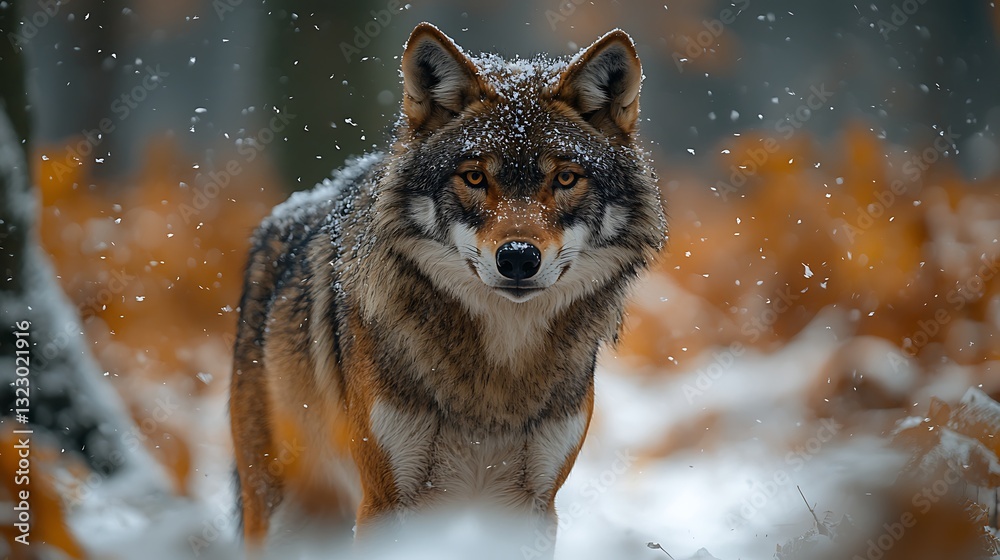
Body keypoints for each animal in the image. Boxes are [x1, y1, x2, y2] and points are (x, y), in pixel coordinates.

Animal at [230, 22, 666, 555]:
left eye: (565, 178)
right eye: (474, 177)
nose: (517, 257)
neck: (499, 373)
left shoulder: (531, 507)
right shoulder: (386, 499)